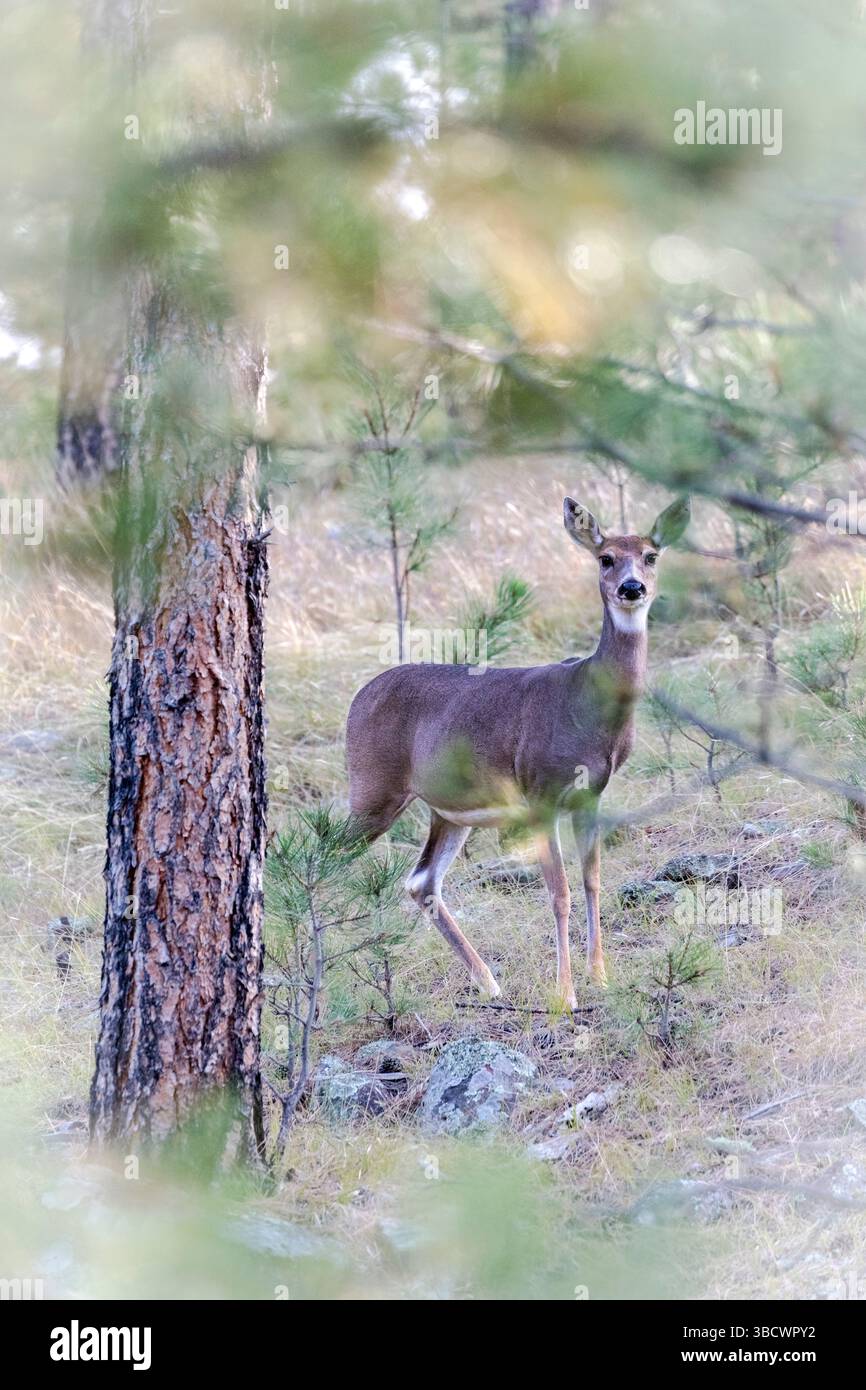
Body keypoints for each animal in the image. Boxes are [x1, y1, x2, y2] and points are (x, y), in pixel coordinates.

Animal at [345, 493, 690, 1009]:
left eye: (651, 555)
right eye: (605, 558)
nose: (632, 588)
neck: (585, 702)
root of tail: (356, 700)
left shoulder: (591, 793)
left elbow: (592, 880)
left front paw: (600, 977)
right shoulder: (540, 790)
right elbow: (559, 892)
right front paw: (565, 994)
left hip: (447, 810)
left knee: (422, 880)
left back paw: (489, 982)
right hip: (372, 788)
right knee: (318, 859)